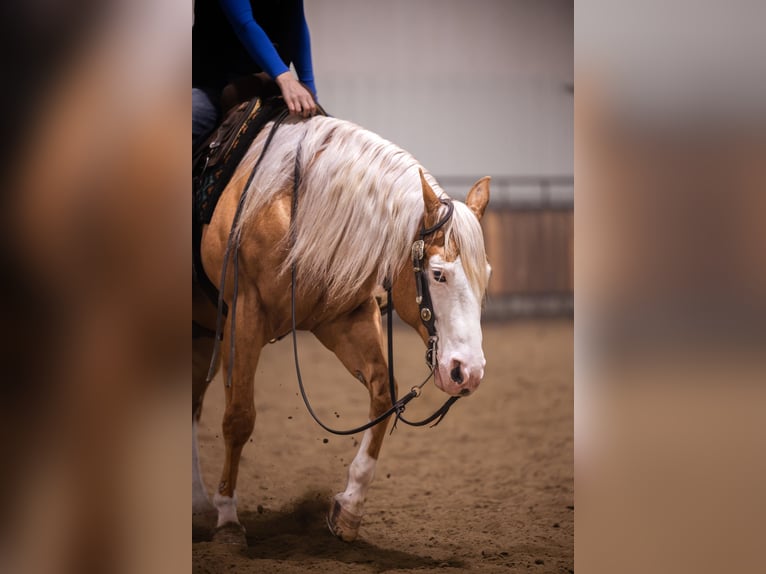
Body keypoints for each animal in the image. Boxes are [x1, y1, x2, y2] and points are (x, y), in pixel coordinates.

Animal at [192, 113, 491, 544]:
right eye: (438, 274)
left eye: (486, 274)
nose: (468, 372)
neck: (297, 209)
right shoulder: (244, 315)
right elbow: (238, 416)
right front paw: (229, 518)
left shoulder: (347, 318)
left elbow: (384, 396)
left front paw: (349, 508)